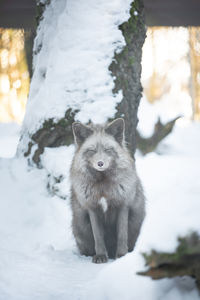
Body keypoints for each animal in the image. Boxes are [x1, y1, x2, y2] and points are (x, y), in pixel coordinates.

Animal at [70, 118, 145, 264]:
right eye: (92, 150)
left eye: (107, 149)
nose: (100, 163)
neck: (103, 187)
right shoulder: (93, 209)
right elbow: (98, 238)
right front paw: (100, 256)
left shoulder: (123, 206)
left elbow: (122, 235)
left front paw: (121, 256)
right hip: (81, 226)